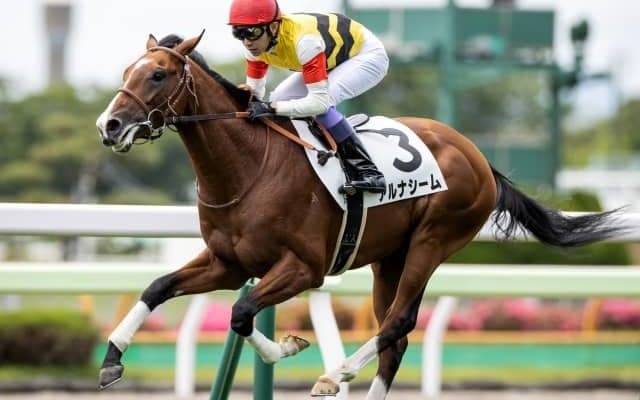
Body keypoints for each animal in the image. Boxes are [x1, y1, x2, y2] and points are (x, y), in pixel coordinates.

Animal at [95, 31, 625, 398]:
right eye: (126, 71)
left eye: (157, 75)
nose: (109, 125)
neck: (249, 167)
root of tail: (478, 157)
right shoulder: (228, 263)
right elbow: (159, 288)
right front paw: (112, 359)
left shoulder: (303, 268)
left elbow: (242, 314)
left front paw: (290, 347)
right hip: (389, 258)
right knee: (395, 339)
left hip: (432, 242)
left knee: (397, 324)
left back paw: (337, 374)